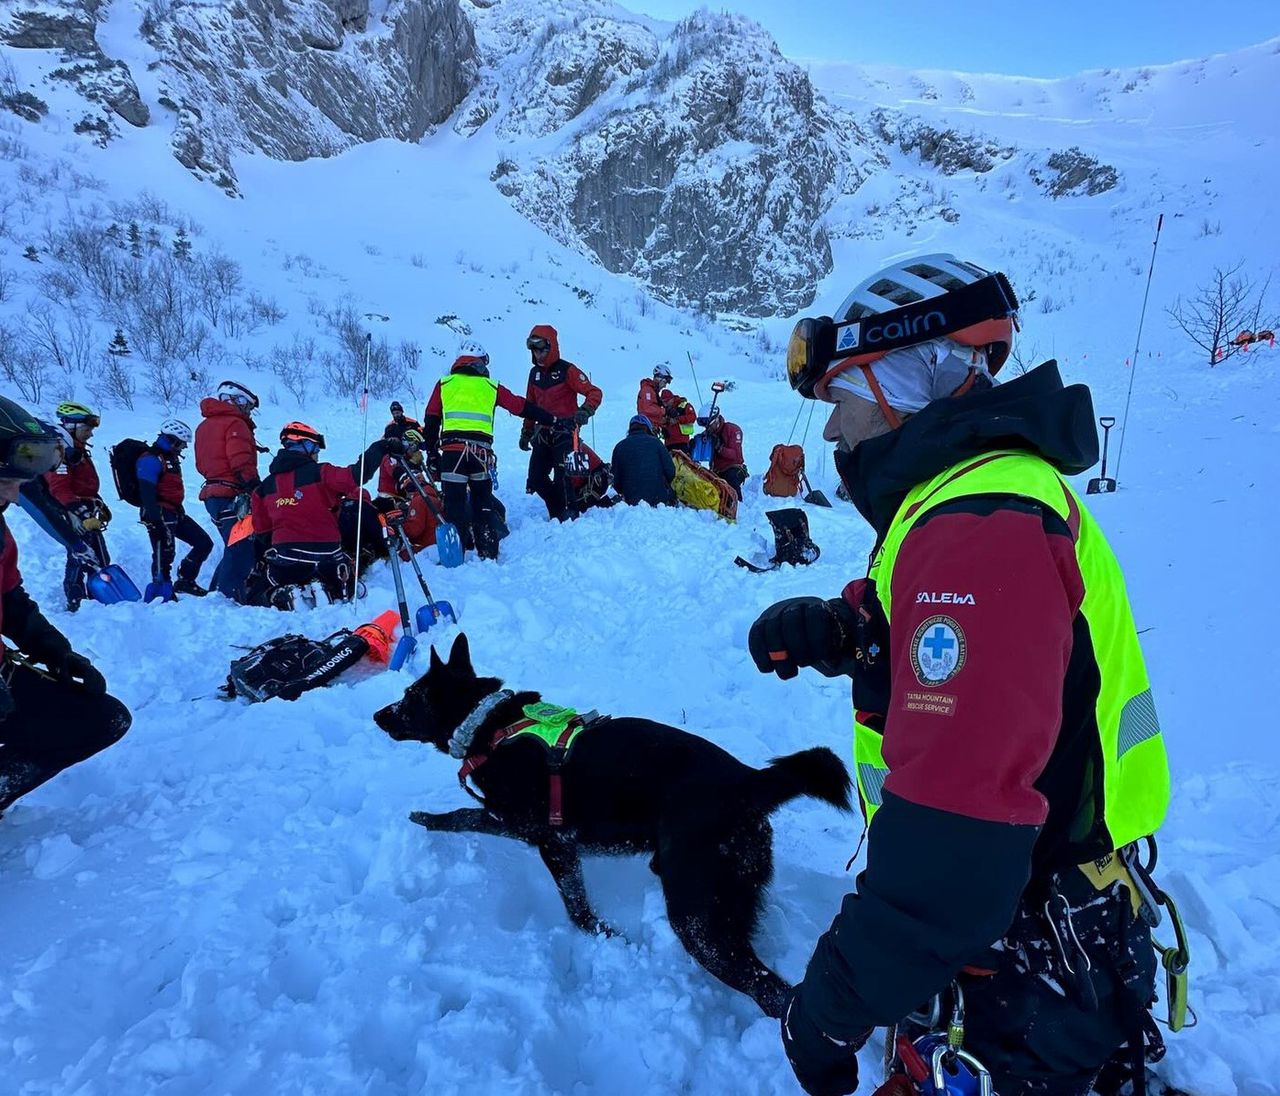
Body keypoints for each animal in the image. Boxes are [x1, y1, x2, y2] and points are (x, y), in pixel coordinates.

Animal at [373, 632, 849, 1019]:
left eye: (410, 696)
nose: (378, 715)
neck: (488, 726)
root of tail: (749, 780)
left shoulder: (544, 837)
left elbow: (471, 823)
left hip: (695, 917)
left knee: (771, 991)